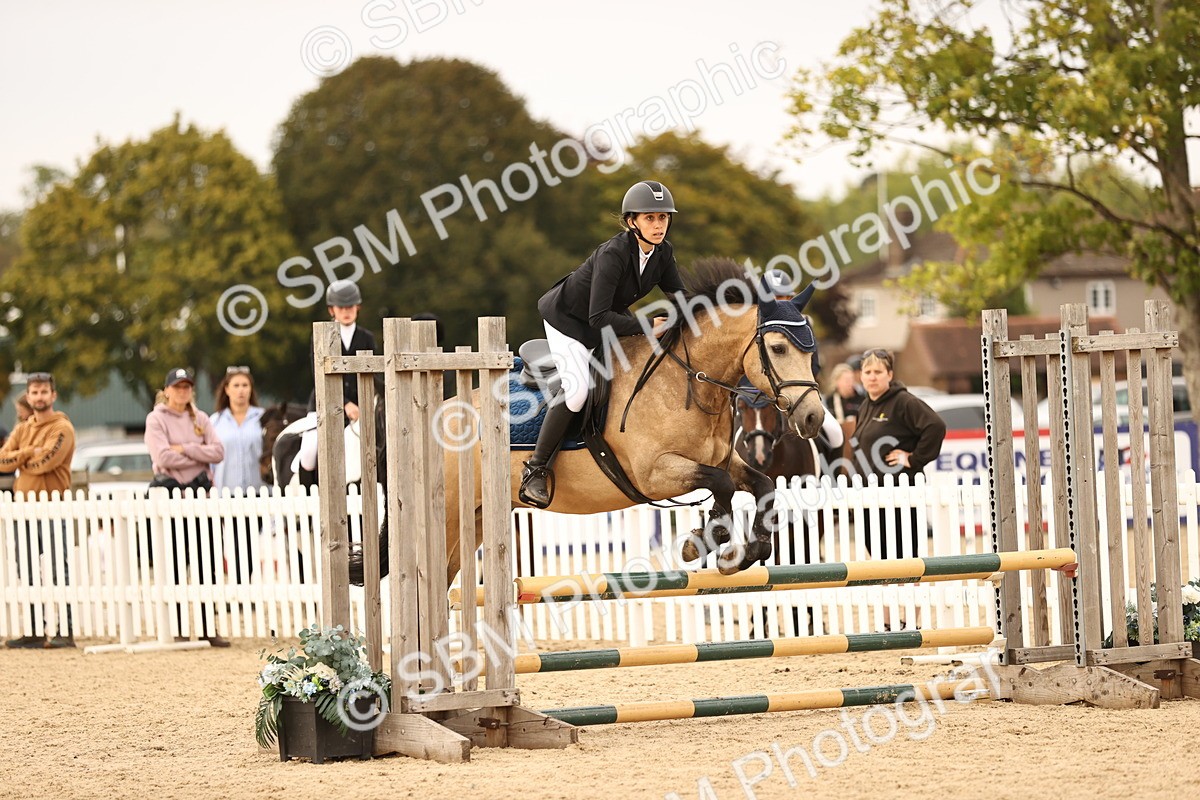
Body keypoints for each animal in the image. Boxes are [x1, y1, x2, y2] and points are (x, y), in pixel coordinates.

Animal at [440, 258, 826, 583]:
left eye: (811, 350)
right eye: (778, 348)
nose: (813, 417)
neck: (686, 382)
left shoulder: (718, 459)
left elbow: (763, 485)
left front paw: (746, 550)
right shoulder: (653, 473)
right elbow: (722, 485)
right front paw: (708, 538)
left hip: (478, 518)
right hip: (451, 517)